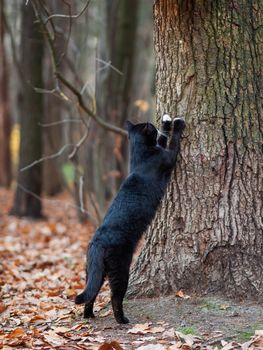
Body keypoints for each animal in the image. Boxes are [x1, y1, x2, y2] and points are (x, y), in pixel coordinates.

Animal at [75, 116, 187, 324]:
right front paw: (177, 124)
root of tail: (97, 242)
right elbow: (173, 142)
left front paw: (166, 122)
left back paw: (89, 316)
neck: (139, 156)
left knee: (91, 293)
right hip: (120, 267)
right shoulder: (167, 158)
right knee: (115, 296)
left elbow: (163, 139)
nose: (154, 123)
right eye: (150, 128)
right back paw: (122, 320)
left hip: (95, 270)